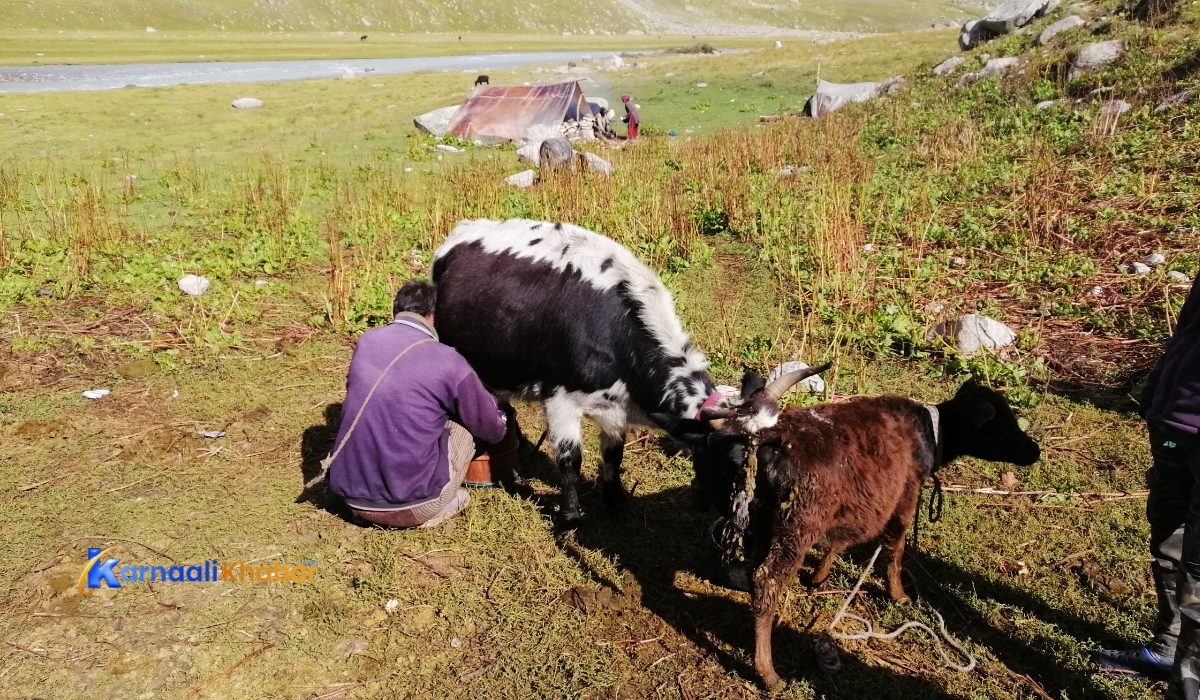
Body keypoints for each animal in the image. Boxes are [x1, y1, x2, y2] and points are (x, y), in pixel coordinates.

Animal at [652, 374, 1036, 691]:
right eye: (999, 424)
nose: (1035, 450)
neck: (930, 434)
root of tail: (760, 438)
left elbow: (839, 542)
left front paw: (818, 577)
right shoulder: (906, 496)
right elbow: (894, 548)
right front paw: (899, 595)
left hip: (762, 521)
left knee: (752, 569)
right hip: (796, 525)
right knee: (766, 582)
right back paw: (769, 673)